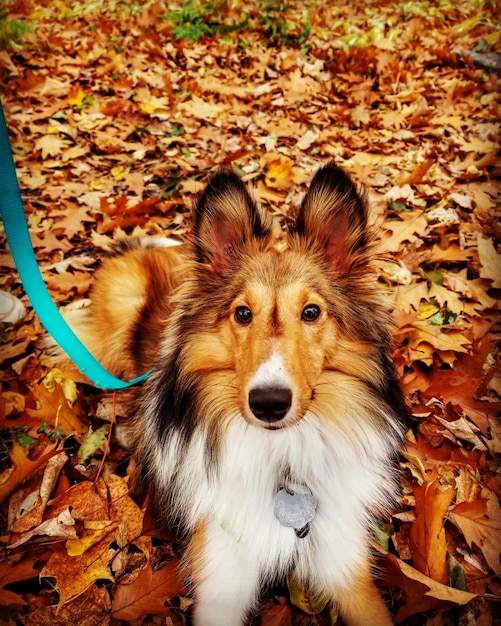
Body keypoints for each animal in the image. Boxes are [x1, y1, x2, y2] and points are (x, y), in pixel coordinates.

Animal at [70, 163, 406, 620]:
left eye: (312, 312)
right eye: (242, 313)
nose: (269, 403)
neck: (283, 457)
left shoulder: (346, 565)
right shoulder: (221, 567)